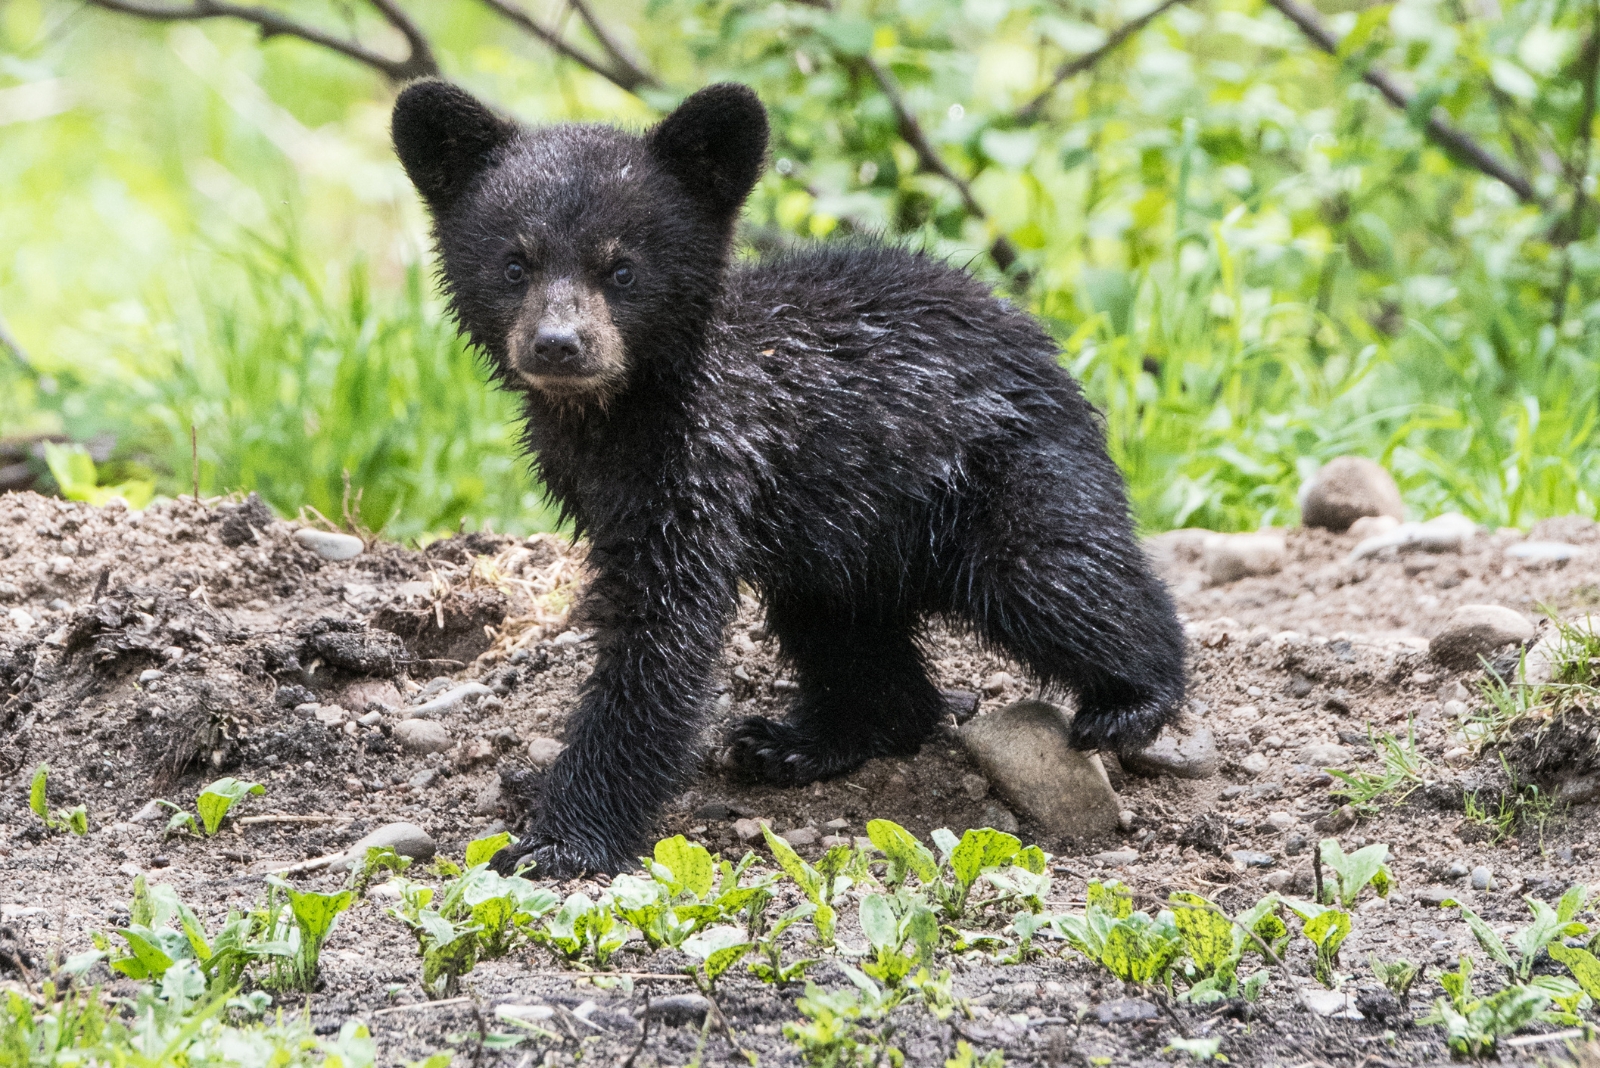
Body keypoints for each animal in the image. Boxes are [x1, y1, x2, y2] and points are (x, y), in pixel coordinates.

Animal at [390, 80, 1187, 877]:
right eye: (514, 263)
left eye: (621, 268)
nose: (558, 345)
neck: (619, 418)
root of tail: (1041, 342)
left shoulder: (704, 467)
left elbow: (661, 639)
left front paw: (562, 838)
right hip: (844, 534)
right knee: (843, 629)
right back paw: (802, 741)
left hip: (999, 466)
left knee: (1054, 570)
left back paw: (1135, 697)